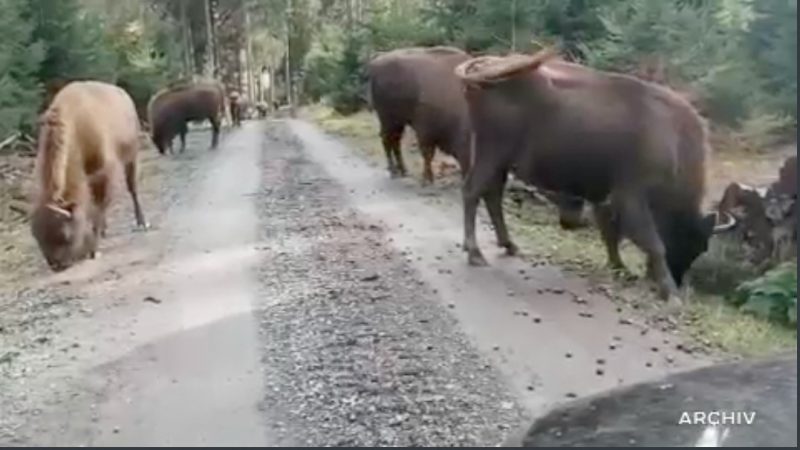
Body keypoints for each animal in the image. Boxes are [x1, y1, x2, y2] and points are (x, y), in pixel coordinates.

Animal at [30, 81, 148, 270]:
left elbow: (98, 208)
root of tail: (123, 93)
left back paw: (141, 222)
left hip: (131, 156)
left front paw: (94, 250)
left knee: (132, 188)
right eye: (36, 235)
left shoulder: (104, 173)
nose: (56, 265)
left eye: (65, 235)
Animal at [454, 51, 736, 300]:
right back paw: (475, 253)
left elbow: (611, 234)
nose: (677, 279)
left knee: (491, 196)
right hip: (492, 153)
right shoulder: (630, 197)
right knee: (472, 191)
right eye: (687, 240)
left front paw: (620, 268)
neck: (674, 141)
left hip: (497, 160)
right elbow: (653, 243)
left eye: (701, 248)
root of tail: (485, 65)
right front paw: (670, 294)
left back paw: (508, 245)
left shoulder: (605, 198)